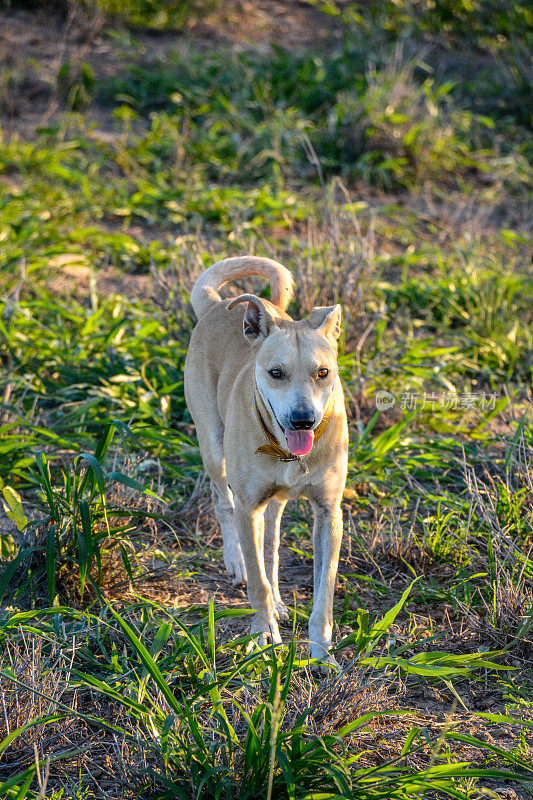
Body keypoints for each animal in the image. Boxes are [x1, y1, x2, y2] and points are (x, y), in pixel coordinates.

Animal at [184, 258, 350, 664]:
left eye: (323, 372)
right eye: (276, 373)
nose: (303, 420)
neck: (286, 452)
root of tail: (215, 305)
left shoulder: (329, 512)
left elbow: (324, 589)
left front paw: (321, 651)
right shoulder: (248, 507)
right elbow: (256, 581)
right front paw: (262, 636)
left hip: (272, 500)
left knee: (271, 543)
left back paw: (277, 600)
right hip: (213, 449)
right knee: (223, 502)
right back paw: (236, 562)